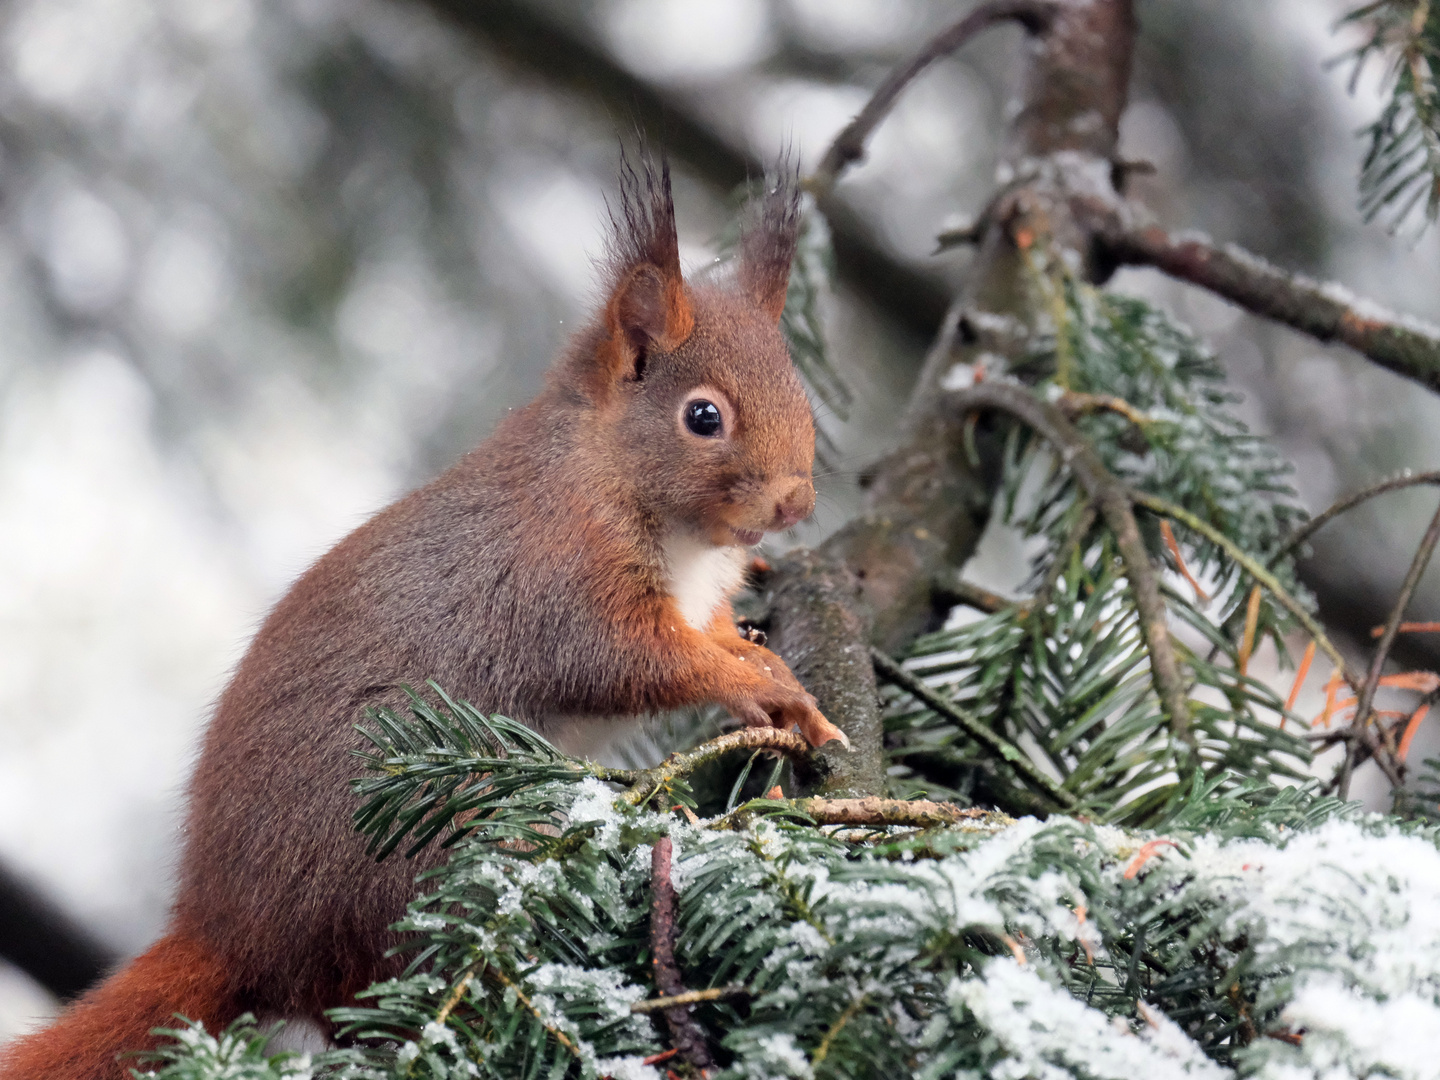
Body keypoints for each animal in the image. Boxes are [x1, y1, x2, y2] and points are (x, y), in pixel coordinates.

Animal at [0, 154, 840, 1080]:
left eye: (799, 390)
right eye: (703, 416)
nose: (796, 502)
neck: (619, 482)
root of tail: (230, 931)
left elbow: (716, 633)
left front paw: (786, 681)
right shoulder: (560, 581)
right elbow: (636, 662)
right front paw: (762, 691)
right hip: (414, 857)